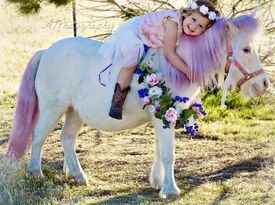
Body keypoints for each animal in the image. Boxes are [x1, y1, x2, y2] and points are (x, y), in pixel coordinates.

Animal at [8, 16, 270, 199]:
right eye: (246, 49)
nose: (264, 84)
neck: (175, 64)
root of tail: (45, 52)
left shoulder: (162, 117)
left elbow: (159, 151)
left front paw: (158, 182)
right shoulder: (165, 115)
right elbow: (168, 153)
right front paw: (170, 190)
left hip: (75, 112)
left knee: (67, 139)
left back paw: (78, 176)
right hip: (53, 108)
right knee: (39, 137)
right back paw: (36, 173)